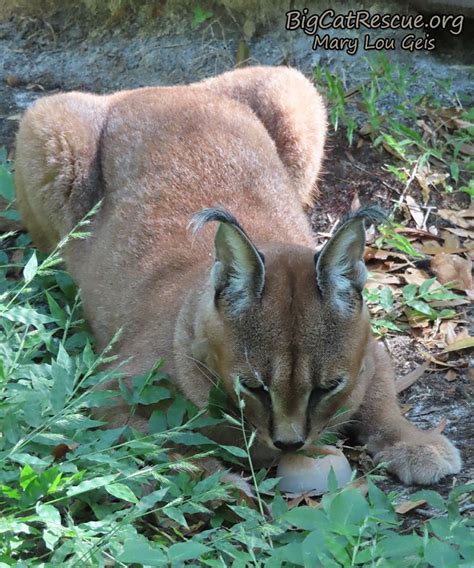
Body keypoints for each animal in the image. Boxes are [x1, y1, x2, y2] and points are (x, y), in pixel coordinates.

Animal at [14, 65, 460, 484]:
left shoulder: (371, 352)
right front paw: (220, 483)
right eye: (254, 387)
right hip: (47, 125)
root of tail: (162, 89)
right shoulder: (99, 401)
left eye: (325, 388)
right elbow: (159, 448)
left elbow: (381, 402)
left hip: (294, 92)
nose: (289, 443)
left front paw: (414, 442)